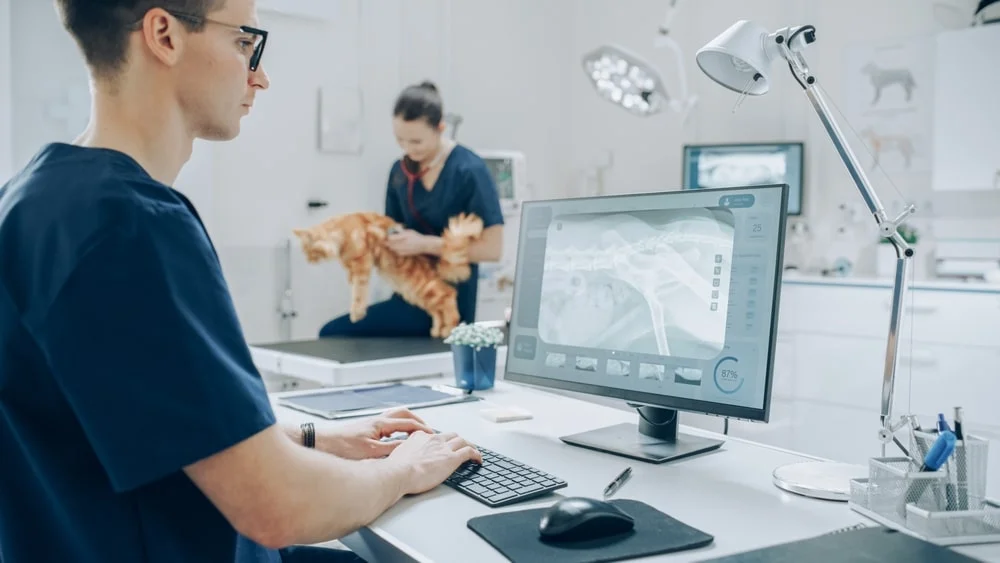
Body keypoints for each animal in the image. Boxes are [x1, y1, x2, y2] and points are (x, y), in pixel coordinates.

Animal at [292, 210, 484, 334]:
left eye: (308, 252)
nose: (309, 261)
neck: (342, 232)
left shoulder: (362, 263)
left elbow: (358, 292)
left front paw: (356, 313)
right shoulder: (352, 266)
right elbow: (352, 282)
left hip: (423, 286)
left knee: (448, 295)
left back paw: (449, 329)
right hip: (415, 293)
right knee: (437, 309)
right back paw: (437, 330)